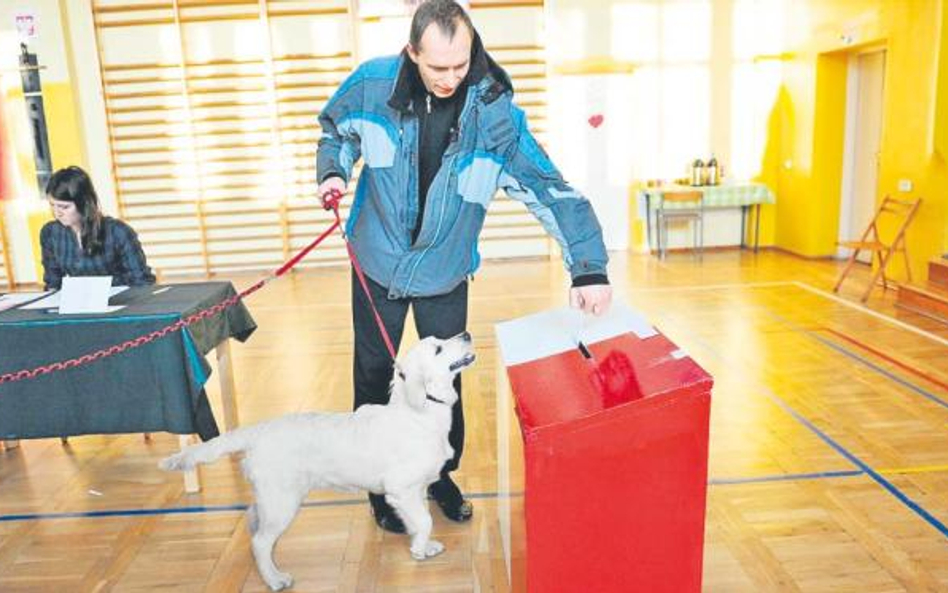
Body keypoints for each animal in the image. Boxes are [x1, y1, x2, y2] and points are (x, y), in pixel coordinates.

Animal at [162, 330, 478, 588]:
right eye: (438, 349)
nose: (467, 333)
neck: (420, 413)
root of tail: (258, 430)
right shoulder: (402, 488)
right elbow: (424, 520)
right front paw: (419, 549)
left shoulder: (416, 489)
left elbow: (419, 518)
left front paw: (424, 546)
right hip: (283, 501)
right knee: (260, 542)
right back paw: (275, 578)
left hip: (269, 498)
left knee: (254, 525)